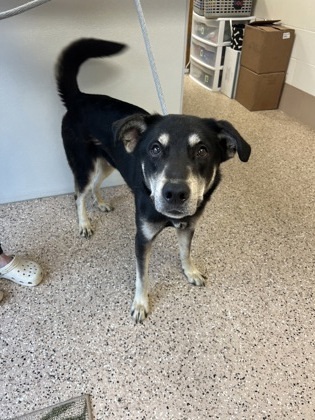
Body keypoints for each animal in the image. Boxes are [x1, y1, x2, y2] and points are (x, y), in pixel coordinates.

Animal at [55, 38, 252, 322]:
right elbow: (142, 276)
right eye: (155, 148)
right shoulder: (143, 238)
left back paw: (100, 203)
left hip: (108, 162)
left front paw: (190, 271)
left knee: (95, 185)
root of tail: (79, 98)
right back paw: (84, 223)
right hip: (84, 164)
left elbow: (185, 251)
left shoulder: (189, 226)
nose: (175, 193)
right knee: (79, 194)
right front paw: (140, 303)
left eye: (202, 150)